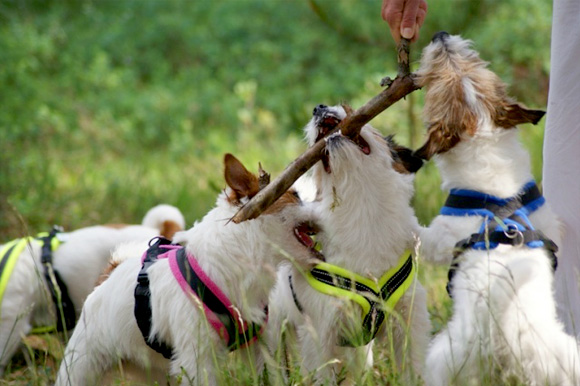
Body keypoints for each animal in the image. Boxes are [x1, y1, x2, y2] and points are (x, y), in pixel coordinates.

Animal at [268, 104, 430, 384]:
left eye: (349, 108)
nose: (318, 107)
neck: (362, 210)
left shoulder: (410, 318)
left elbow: (414, 369)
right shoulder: (320, 335)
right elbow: (323, 375)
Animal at [414, 32, 580, 386]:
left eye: (438, 74)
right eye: (473, 63)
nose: (440, 35)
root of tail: (508, 346)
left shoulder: (438, 239)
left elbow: (411, 229)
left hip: (443, 359)